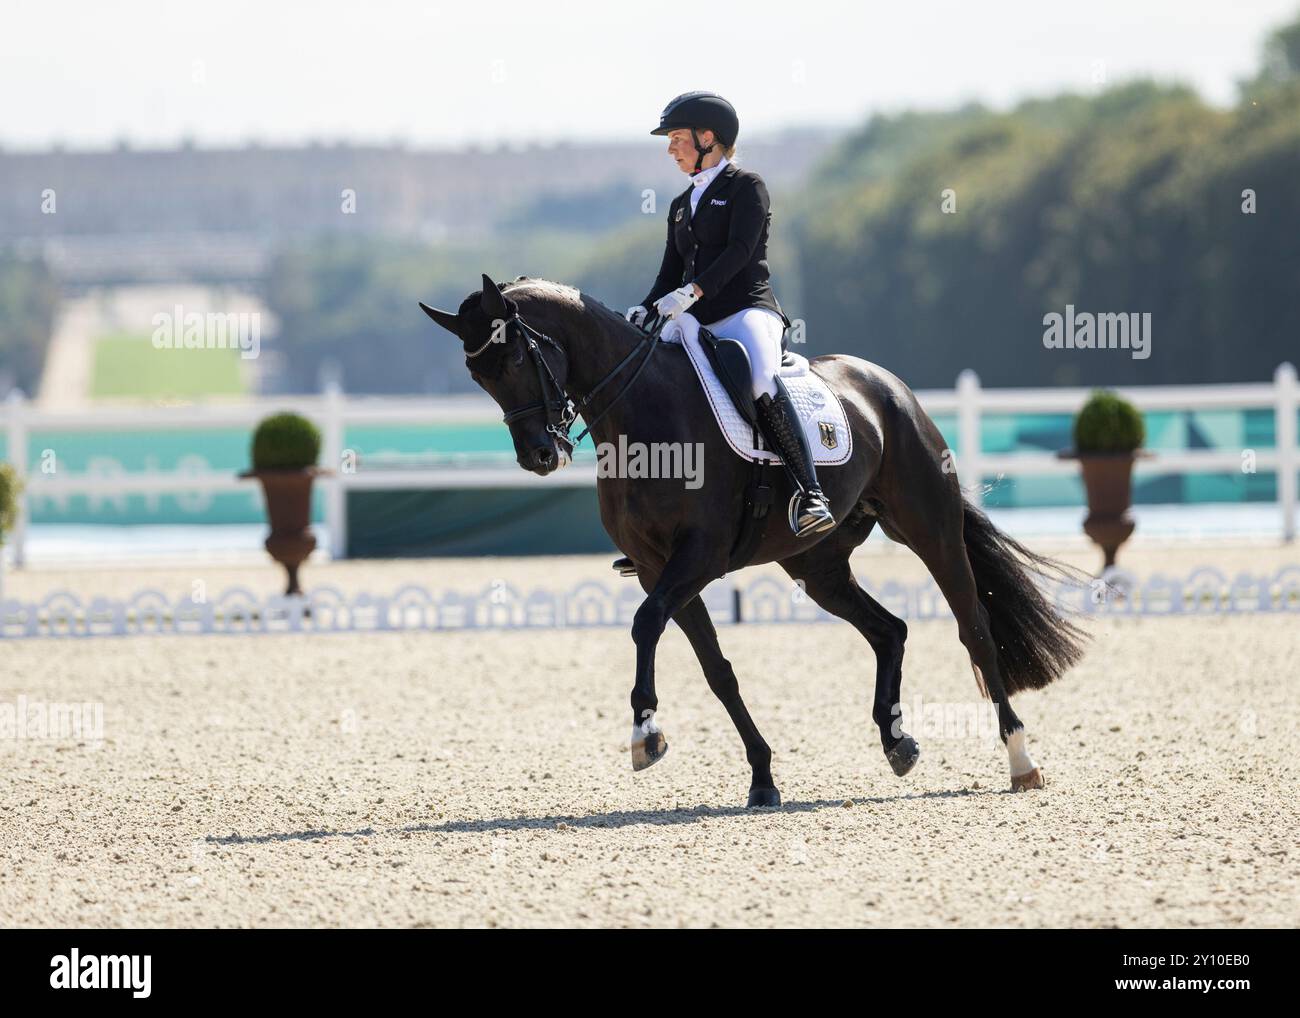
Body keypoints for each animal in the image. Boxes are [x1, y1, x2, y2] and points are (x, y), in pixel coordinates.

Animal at [418, 274, 1086, 806]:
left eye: (513, 360)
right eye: (479, 375)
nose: (538, 455)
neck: (641, 413)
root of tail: (888, 386)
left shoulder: (697, 556)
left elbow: (644, 623)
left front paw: (644, 735)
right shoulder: (659, 566)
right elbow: (717, 670)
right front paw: (762, 777)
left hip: (929, 528)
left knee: (974, 628)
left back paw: (1021, 759)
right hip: (818, 569)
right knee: (889, 630)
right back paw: (897, 741)